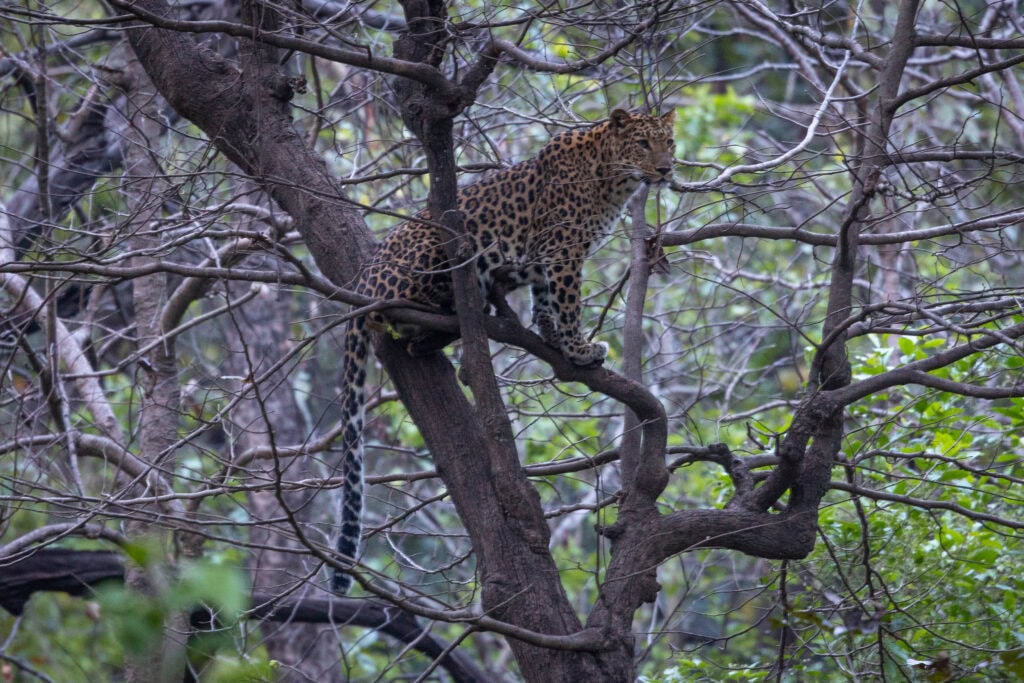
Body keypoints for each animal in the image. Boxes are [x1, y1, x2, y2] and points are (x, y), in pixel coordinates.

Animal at [332, 109, 676, 593]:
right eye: (643, 144)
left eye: (669, 142)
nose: (664, 169)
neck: (612, 178)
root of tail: (363, 282)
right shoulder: (563, 250)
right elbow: (568, 302)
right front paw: (579, 348)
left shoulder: (549, 259)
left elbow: (546, 302)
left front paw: (553, 339)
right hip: (436, 251)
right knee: (408, 312)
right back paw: (459, 311)